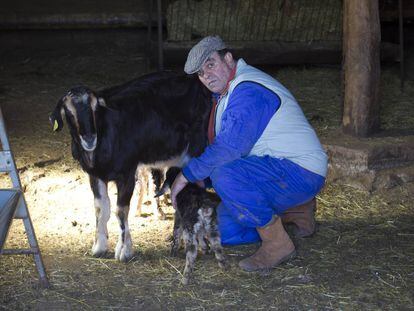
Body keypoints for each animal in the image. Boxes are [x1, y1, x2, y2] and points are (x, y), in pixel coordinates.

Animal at [49, 72, 210, 262]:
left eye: (95, 108)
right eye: (68, 111)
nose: (89, 138)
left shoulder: (126, 173)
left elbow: (120, 211)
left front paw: (124, 251)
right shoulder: (95, 175)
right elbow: (101, 208)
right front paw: (99, 246)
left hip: (196, 149)